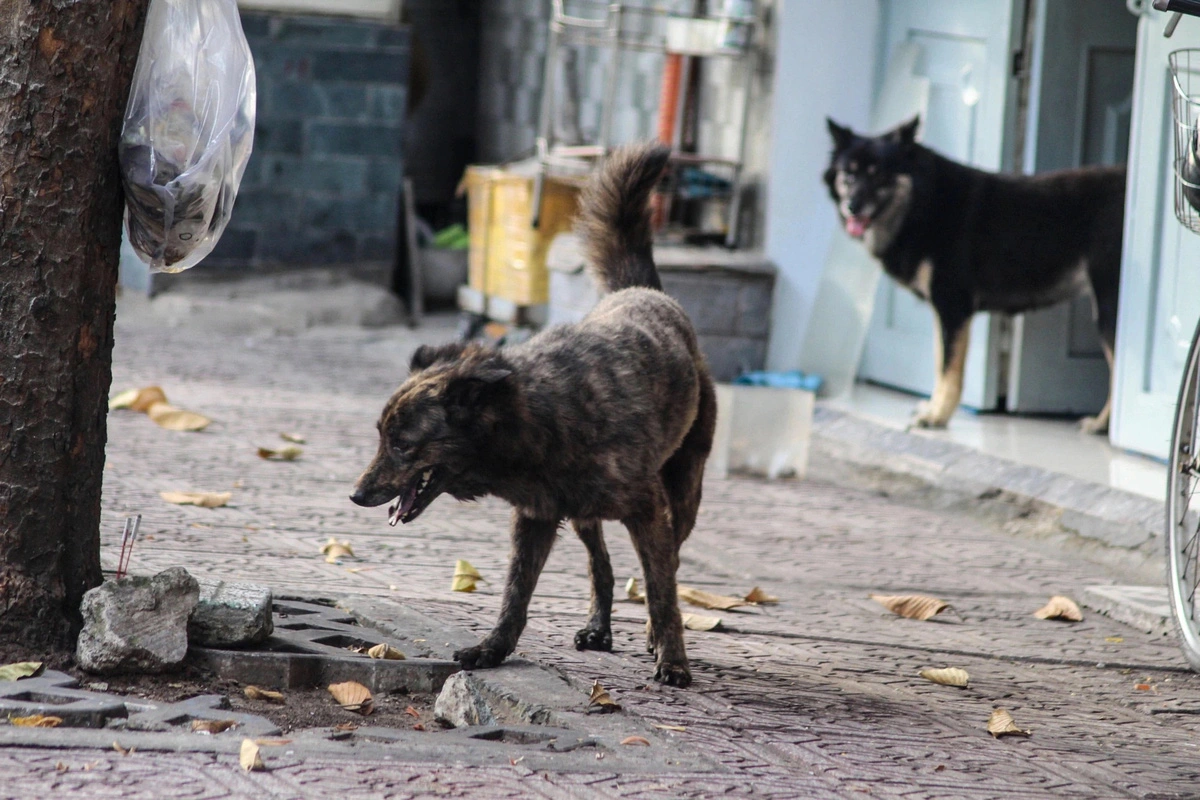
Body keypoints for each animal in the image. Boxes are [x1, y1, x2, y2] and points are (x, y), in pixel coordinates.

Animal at [350, 143, 715, 690]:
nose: (355, 495)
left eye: (402, 444)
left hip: (682, 496)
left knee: (665, 567)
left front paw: (673, 660)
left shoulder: (648, 511)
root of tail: (644, 292)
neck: (534, 419)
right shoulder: (536, 518)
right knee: (602, 568)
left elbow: (662, 590)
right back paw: (598, 629)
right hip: (585, 515)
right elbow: (515, 595)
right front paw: (492, 650)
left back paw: (653, 638)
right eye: (379, 436)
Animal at [825, 115, 1123, 431]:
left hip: (1108, 311)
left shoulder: (953, 307)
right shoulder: (943, 313)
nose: (852, 207)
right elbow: (939, 361)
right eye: (848, 175)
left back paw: (1101, 425)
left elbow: (949, 370)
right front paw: (933, 408)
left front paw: (937, 415)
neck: (923, 201)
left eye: (878, 174)